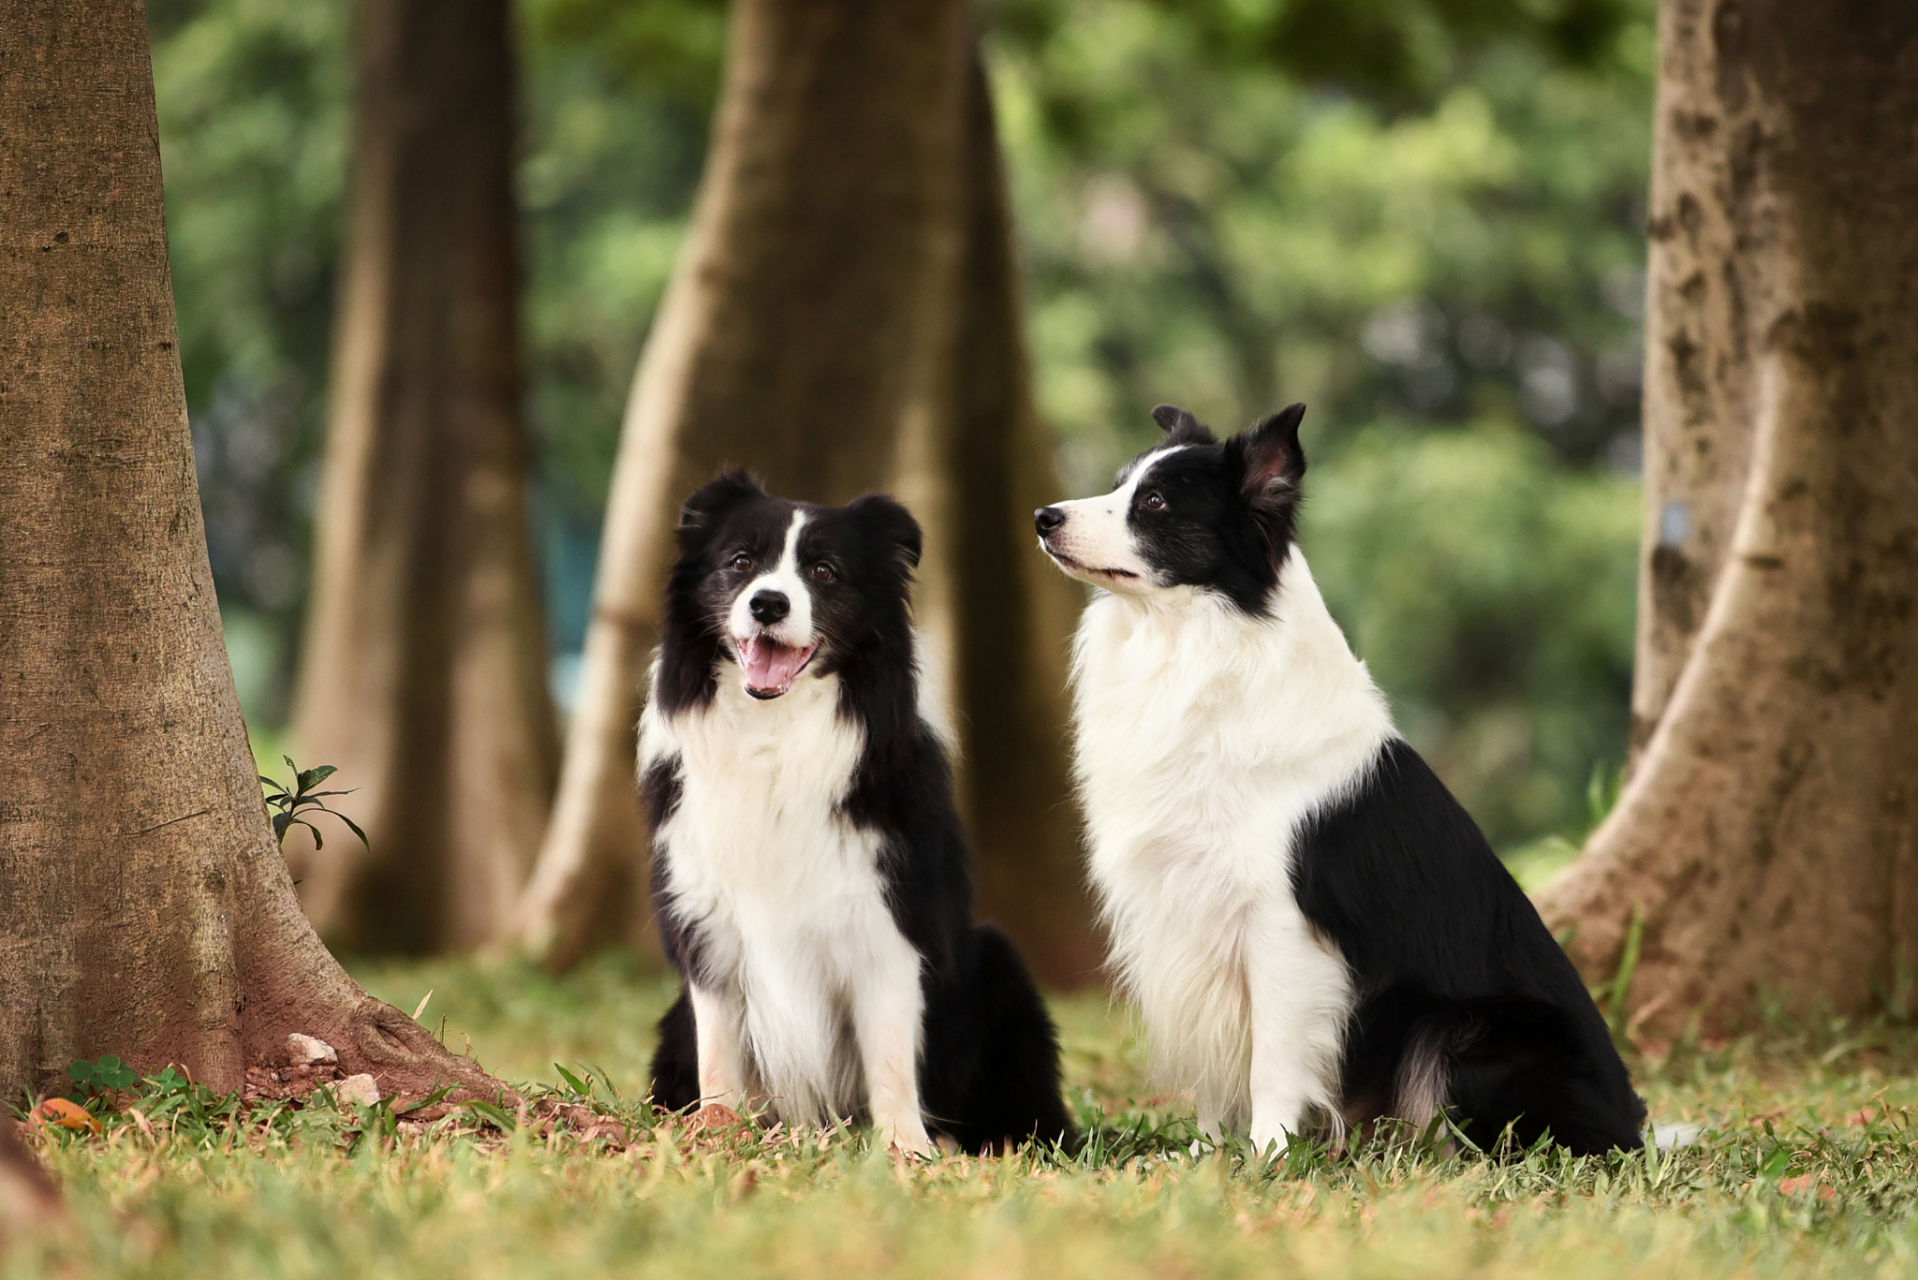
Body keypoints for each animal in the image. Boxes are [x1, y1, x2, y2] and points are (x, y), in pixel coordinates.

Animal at [648, 474, 1081, 1159]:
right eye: (740, 562)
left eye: (825, 571)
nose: (767, 604)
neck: (775, 733)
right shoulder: (705, 921)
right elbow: (717, 1046)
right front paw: (716, 1128)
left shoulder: (890, 921)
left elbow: (892, 1053)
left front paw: (907, 1149)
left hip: (998, 962)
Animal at [1043, 402, 1641, 1159]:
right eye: (1121, 485)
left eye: (1155, 504)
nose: (1044, 517)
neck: (1198, 643)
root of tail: (1633, 1126)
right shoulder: (1184, 915)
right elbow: (1213, 1068)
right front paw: (1207, 1154)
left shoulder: (1281, 922)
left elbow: (1272, 1058)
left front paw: (1264, 1156)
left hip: (1467, 1030)